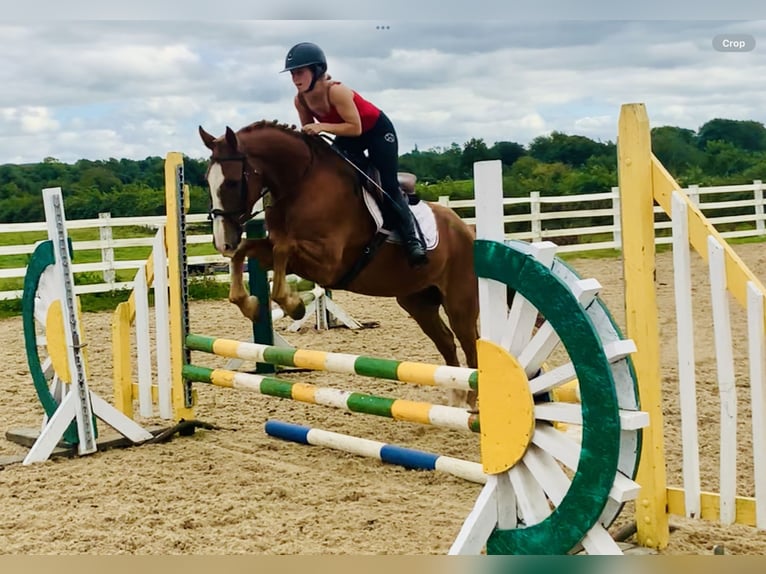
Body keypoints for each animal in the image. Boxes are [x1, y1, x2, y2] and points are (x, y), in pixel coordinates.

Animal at [201, 120, 484, 410]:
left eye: (233, 182)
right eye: (207, 181)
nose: (222, 242)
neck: (301, 184)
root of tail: (466, 228)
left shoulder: (327, 263)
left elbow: (282, 249)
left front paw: (294, 305)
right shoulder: (283, 253)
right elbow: (247, 251)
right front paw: (251, 306)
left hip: (459, 302)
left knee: (470, 343)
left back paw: (473, 403)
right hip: (418, 302)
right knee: (447, 341)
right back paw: (456, 400)